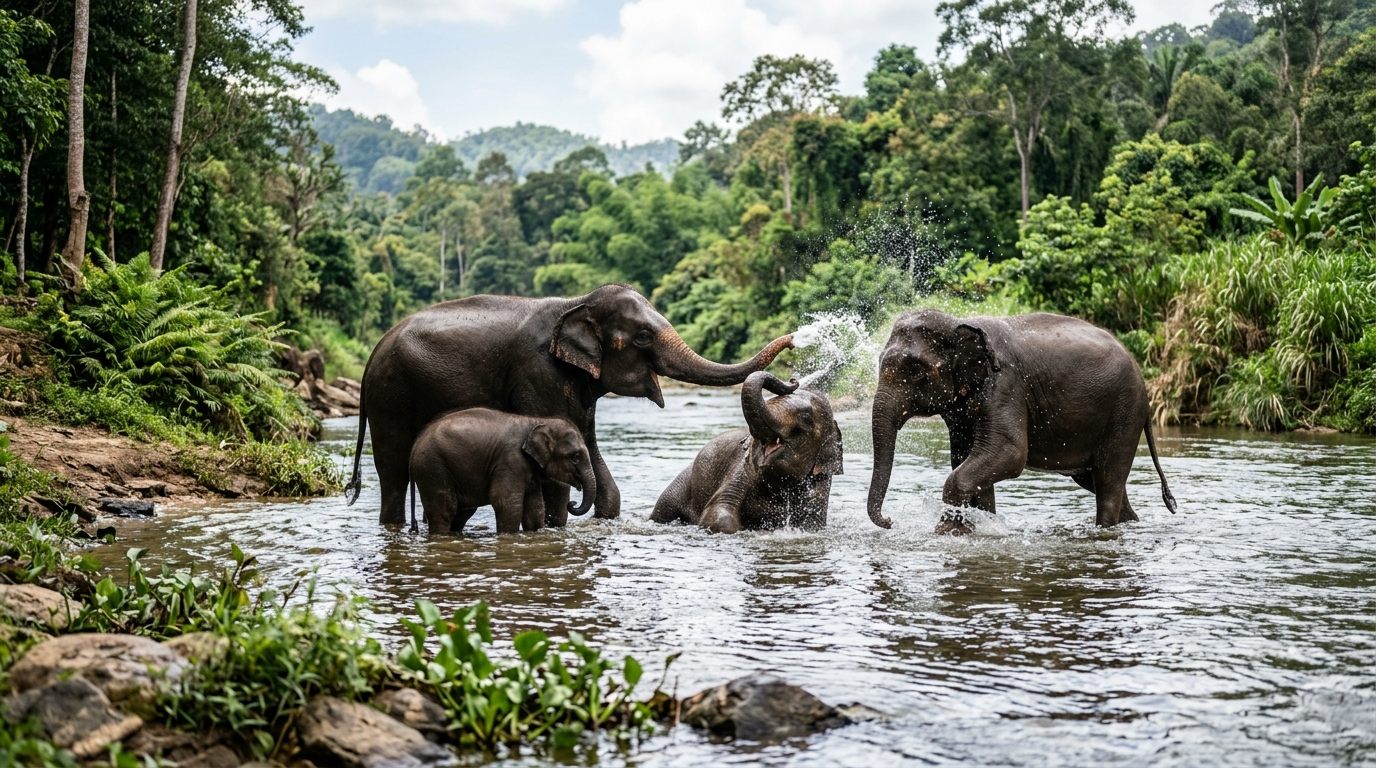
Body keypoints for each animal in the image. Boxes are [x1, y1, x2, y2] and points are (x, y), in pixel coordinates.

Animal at [408, 409, 595, 534]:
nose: (571, 503)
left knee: (462, 512)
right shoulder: (510, 461)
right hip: (432, 468)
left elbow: (534, 509)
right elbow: (505, 502)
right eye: (575, 457)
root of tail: (415, 446)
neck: (536, 421)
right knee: (445, 510)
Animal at [651, 371, 844, 533]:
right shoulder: (741, 469)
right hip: (683, 482)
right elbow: (718, 512)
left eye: (806, 418)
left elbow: (811, 525)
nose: (793, 379)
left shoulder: (820, 485)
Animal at [866, 310, 1177, 533]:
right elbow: (967, 458)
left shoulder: (1004, 384)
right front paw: (981, 526)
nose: (890, 521)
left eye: (916, 371)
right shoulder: (961, 408)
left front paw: (948, 530)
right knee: (1097, 480)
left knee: (1108, 480)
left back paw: (1104, 530)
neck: (959, 322)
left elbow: (1008, 453)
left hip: (1124, 412)